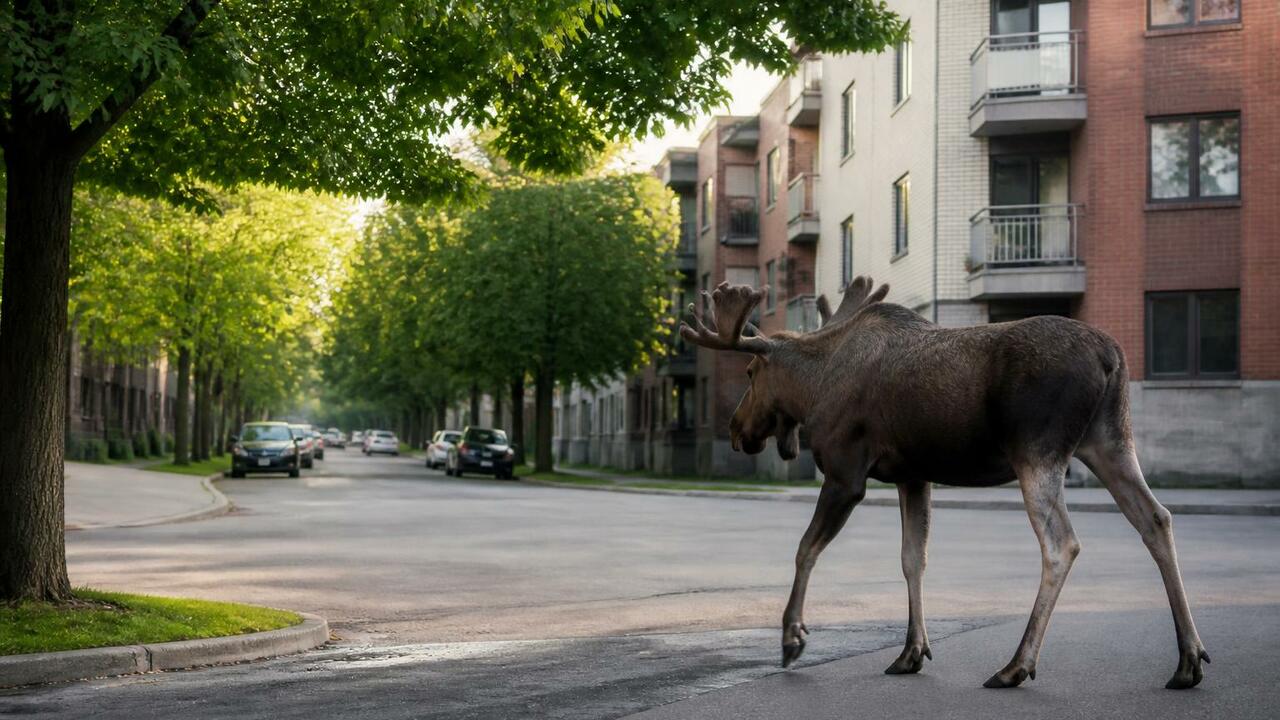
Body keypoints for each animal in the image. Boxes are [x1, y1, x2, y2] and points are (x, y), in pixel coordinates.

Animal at [679, 278, 1209, 690]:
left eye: (751, 371)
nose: (735, 430)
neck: (813, 389)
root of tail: (1111, 356)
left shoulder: (847, 473)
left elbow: (805, 549)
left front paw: (792, 638)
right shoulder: (914, 475)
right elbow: (913, 559)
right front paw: (911, 652)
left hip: (1038, 451)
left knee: (1062, 544)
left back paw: (1017, 665)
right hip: (1110, 442)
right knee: (1156, 519)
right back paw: (1188, 660)